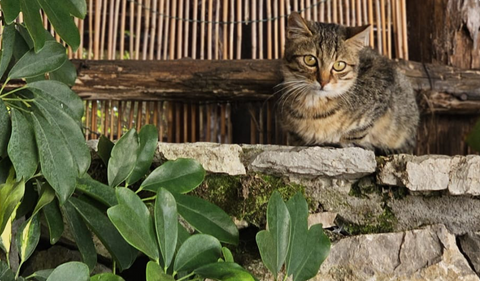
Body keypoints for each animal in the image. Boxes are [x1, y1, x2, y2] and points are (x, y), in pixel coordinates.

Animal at [280, 11, 418, 153]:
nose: (323, 82)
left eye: (339, 65)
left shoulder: (383, 86)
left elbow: (356, 133)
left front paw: (346, 142)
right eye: (310, 60)